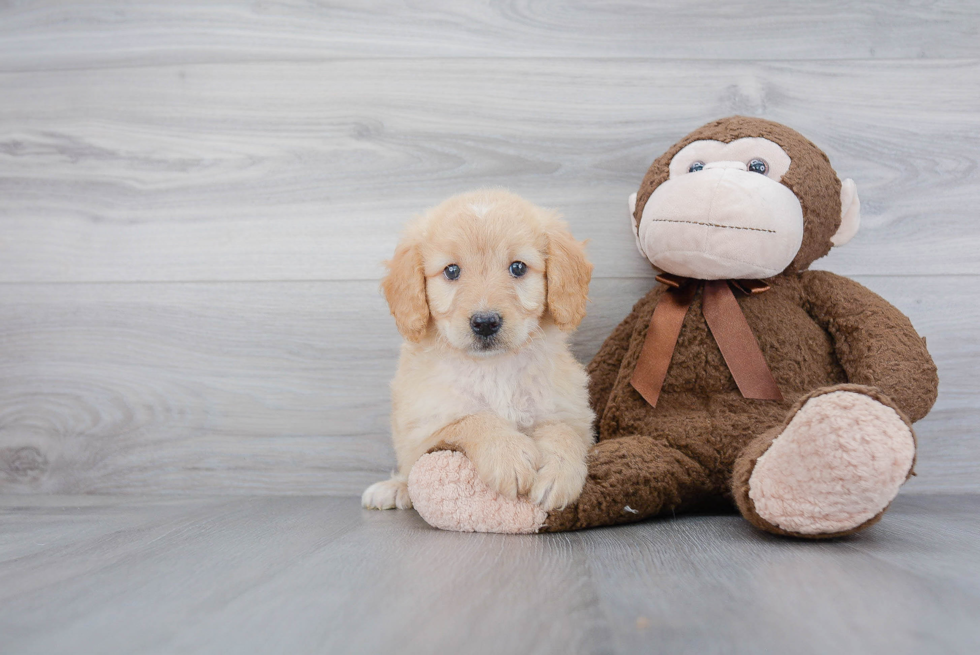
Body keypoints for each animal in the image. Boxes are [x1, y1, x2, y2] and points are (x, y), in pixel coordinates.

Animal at [362, 188, 596, 512]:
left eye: (518, 267)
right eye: (451, 271)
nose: (485, 323)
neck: (493, 367)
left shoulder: (570, 413)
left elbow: (565, 432)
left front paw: (560, 472)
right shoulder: (425, 429)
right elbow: (471, 420)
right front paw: (507, 454)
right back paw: (393, 488)